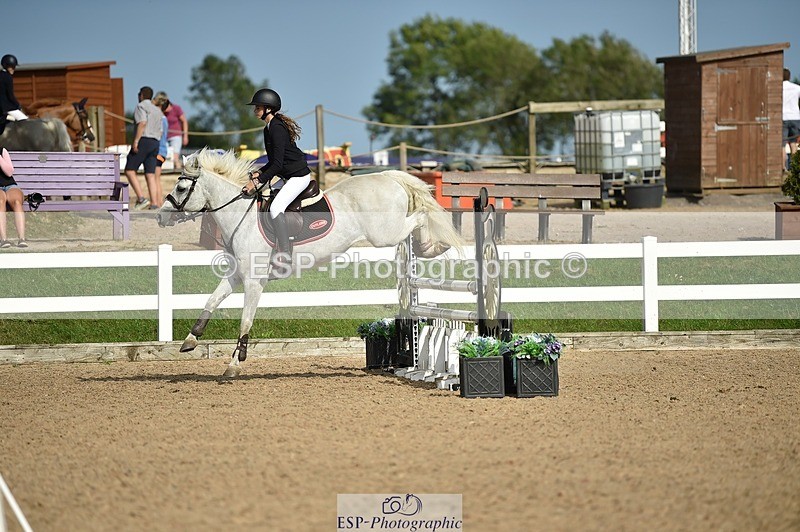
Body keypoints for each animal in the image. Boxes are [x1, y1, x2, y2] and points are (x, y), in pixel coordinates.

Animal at [157, 148, 464, 378]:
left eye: (181, 187)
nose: (160, 216)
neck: (239, 216)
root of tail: (387, 177)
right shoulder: (236, 276)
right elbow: (211, 300)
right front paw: (190, 340)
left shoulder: (254, 282)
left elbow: (245, 321)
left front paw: (234, 364)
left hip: (384, 234)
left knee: (422, 216)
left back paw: (432, 245)